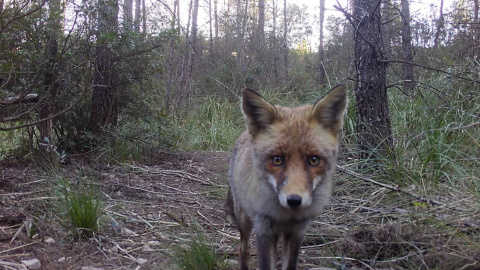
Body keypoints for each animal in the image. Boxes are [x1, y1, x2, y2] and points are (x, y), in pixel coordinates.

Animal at [227, 85, 346, 270]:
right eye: (277, 160)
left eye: (313, 160)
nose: (294, 200)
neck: (285, 216)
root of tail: (245, 133)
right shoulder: (263, 230)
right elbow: (265, 264)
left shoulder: (296, 232)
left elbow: (289, 265)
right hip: (244, 219)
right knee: (243, 249)